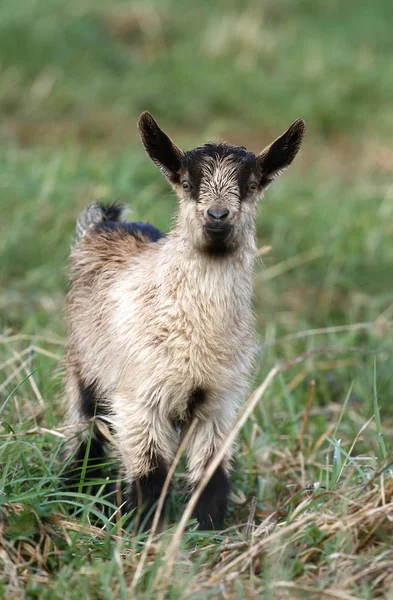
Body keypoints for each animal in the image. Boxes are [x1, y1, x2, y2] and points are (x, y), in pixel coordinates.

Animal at [64, 112, 304, 528]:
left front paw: (209, 531)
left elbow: (212, 474)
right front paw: (146, 532)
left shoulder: (219, 403)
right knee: (84, 433)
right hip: (84, 366)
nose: (218, 216)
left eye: (251, 185)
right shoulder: (139, 398)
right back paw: (72, 491)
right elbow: (150, 474)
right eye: (188, 184)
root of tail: (105, 224)